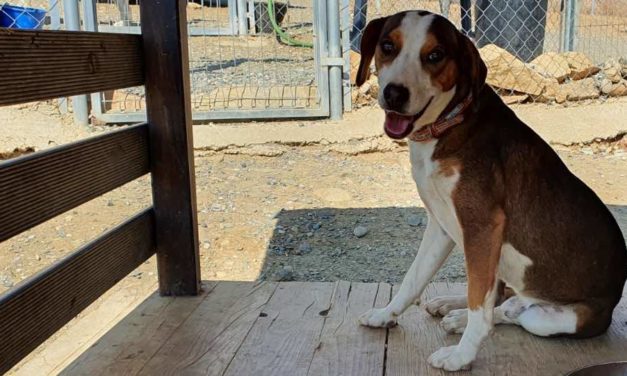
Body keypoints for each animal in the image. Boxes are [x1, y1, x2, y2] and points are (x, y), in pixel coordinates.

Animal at [356, 10, 627, 372]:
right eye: (387, 46)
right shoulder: (441, 226)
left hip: (553, 319)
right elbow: (413, 279)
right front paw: (386, 315)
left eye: (435, 55)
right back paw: (452, 309)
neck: (449, 124)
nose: (394, 94)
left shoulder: (482, 227)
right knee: (503, 301)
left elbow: (479, 309)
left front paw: (461, 356)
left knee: (509, 311)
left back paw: (461, 318)